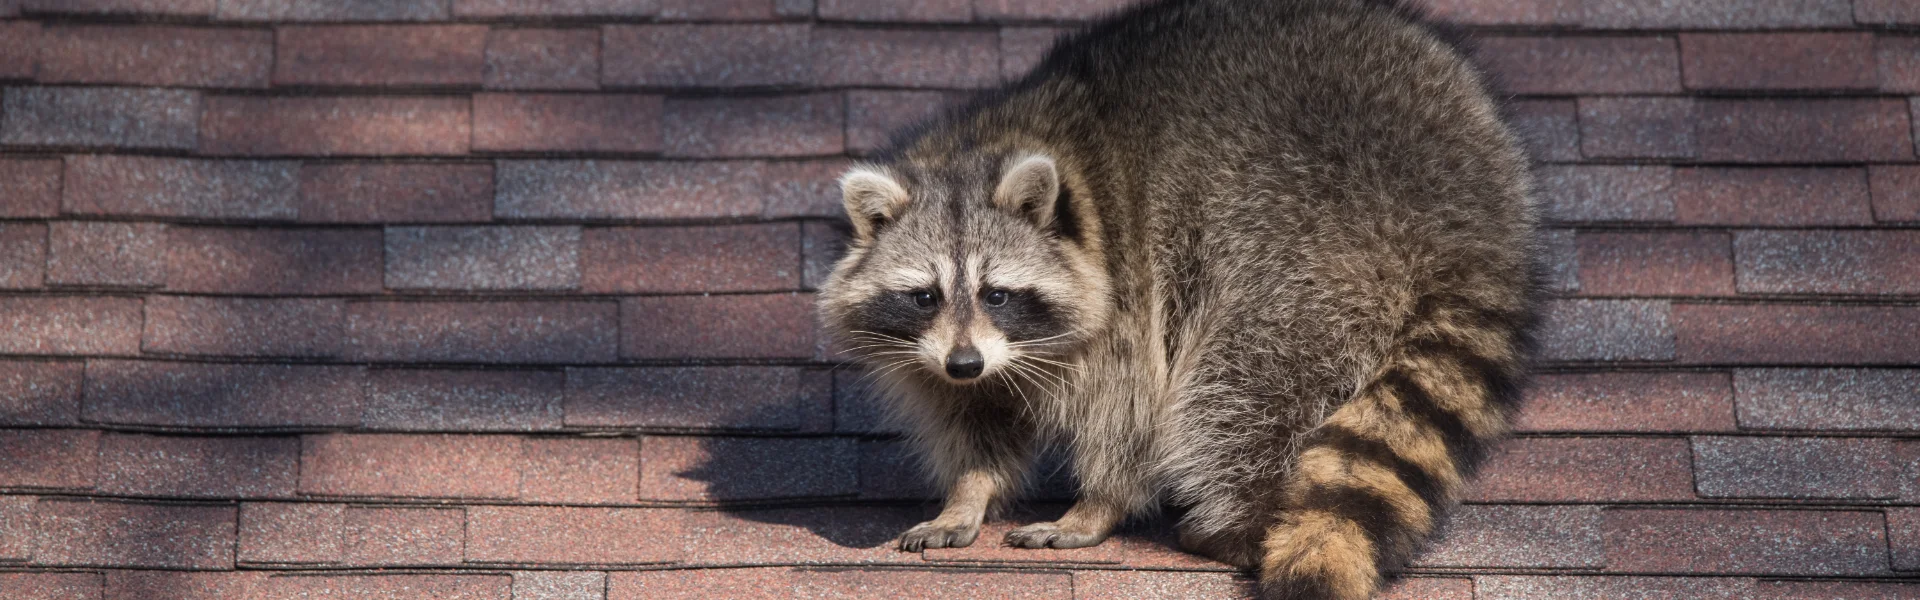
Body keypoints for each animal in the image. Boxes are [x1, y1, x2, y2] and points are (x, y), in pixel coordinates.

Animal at [815, 0, 1538, 597]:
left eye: (997, 293)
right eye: (924, 296)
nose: (964, 363)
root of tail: (1466, 219)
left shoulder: (1129, 289)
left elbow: (1131, 407)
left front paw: (1097, 505)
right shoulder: (949, 354)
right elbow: (978, 417)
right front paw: (969, 491)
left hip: (1308, 242)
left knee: (1244, 388)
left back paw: (1241, 519)